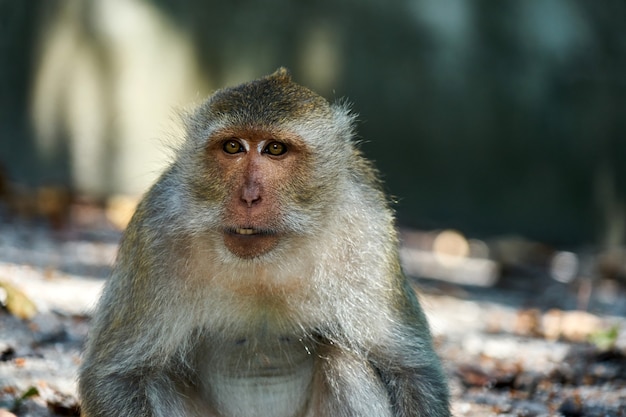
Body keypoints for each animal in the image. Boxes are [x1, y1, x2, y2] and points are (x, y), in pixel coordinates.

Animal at [78, 66, 448, 414]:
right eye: (232, 147)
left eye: (275, 149)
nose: (249, 196)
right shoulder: (157, 233)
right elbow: (117, 375)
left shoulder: (367, 230)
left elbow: (411, 369)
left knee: (344, 359)